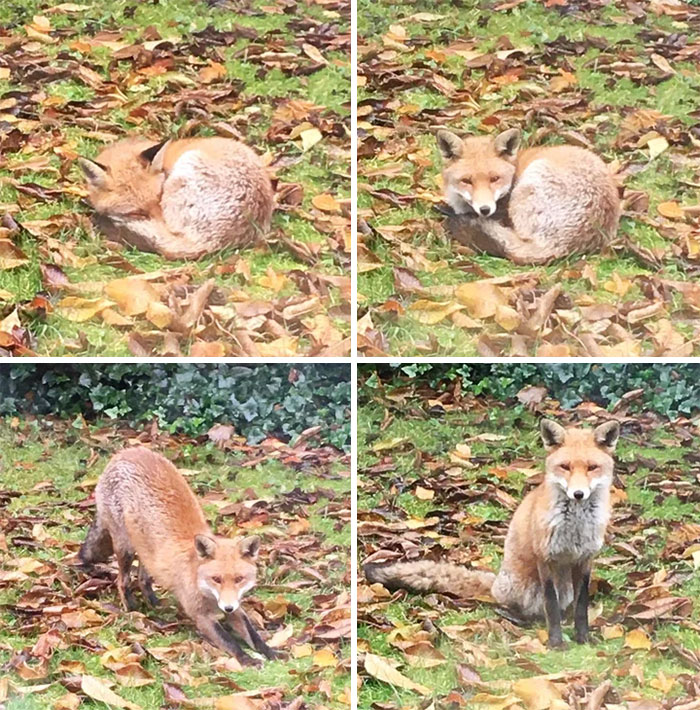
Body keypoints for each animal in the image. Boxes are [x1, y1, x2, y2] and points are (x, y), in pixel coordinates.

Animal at [79, 447, 277, 665]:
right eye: (216, 579)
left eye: (239, 579)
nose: (227, 608)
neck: (197, 578)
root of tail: (126, 451)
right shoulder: (201, 616)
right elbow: (230, 642)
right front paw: (247, 660)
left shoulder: (235, 607)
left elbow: (254, 636)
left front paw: (273, 653)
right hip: (126, 548)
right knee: (122, 582)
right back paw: (133, 610)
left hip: (147, 549)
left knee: (143, 578)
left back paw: (156, 605)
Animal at [364, 419, 620, 648]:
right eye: (565, 467)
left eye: (592, 468)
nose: (578, 494)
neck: (575, 526)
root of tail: (496, 581)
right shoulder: (544, 557)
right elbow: (551, 606)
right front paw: (556, 642)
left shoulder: (585, 558)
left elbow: (582, 606)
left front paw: (583, 637)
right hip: (525, 587)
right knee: (522, 606)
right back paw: (511, 615)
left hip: (563, 586)